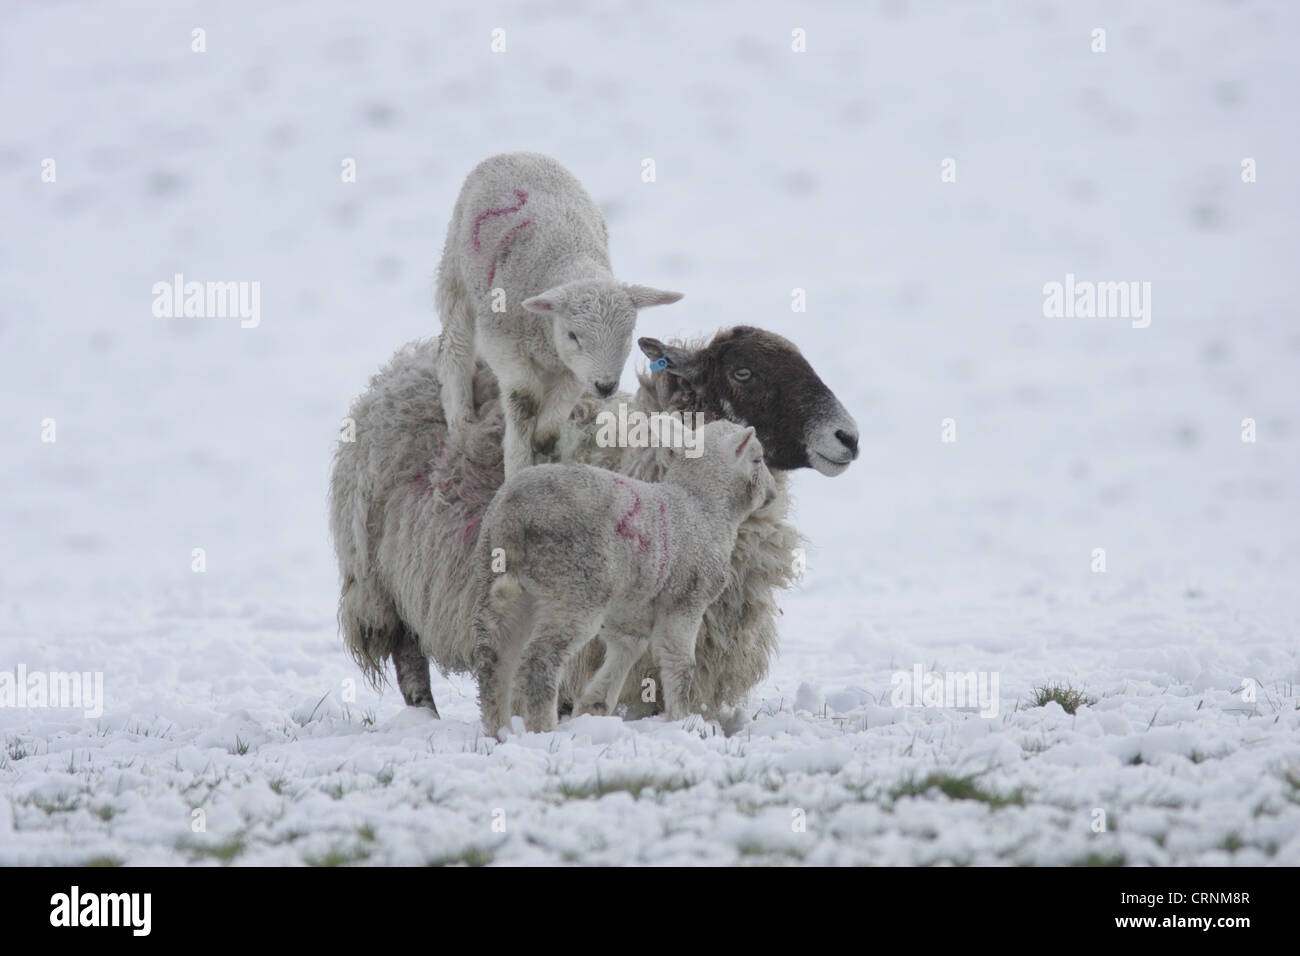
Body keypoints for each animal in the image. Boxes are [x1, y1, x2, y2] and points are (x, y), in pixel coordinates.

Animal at [434, 152, 686, 478]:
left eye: (628, 334)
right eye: (573, 334)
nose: (606, 386)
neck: (571, 259)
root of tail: (515, 154)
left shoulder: (576, 368)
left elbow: (558, 411)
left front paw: (543, 441)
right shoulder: (503, 338)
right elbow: (524, 399)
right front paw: (517, 467)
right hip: (456, 274)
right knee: (455, 349)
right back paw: (461, 421)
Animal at [470, 418, 769, 733]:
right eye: (758, 459)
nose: (771, 495)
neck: (703, 506)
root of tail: (512, 518)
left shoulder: (629, 609)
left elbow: (627, 648)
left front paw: (594, 705)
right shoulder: (686, 599)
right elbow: (679, 662)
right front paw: (682, 719)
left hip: (497, 578)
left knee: (494, 655)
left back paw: (499, 730)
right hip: (575, 584)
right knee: (540, 659)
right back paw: (543, 729)